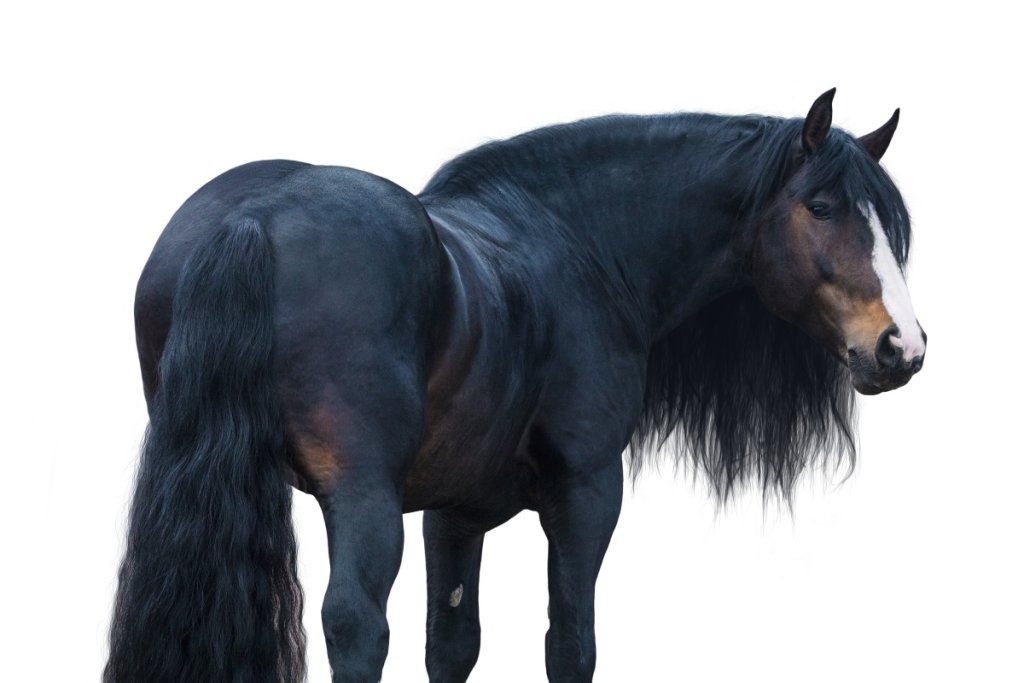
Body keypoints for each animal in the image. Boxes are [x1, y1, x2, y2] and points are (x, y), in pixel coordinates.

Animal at [105, 88, 926, 682]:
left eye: (890, 221)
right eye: (820, 206)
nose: (902, 347)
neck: (577, 245)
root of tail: (250, 220)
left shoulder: (452, 513)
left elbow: (452, 642)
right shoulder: (586, 492)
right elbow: (570, 642)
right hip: (363, 498)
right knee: (356, 625)